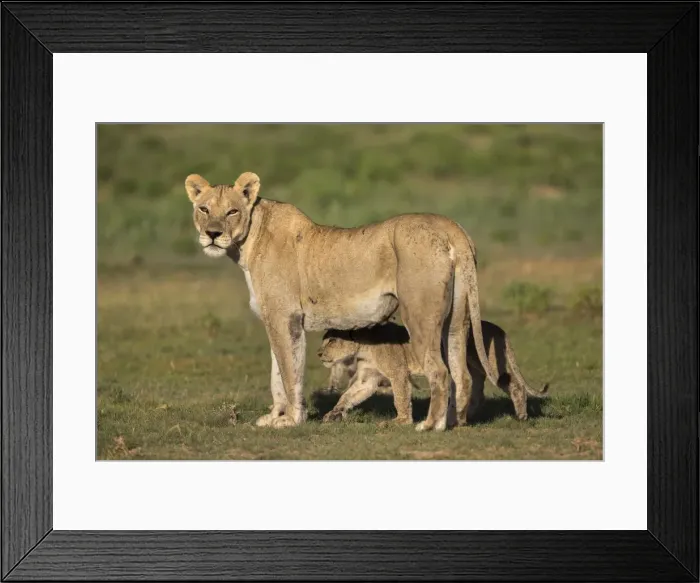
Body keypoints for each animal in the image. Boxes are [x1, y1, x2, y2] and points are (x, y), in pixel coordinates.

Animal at [184, 171, 500, 432]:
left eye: (232, 211)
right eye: (204, 209)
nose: (212, 234)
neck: (248, 243)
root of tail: (451, 226)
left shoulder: (285, 317)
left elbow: (288, 372)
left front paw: (291, 419)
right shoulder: (275, 321)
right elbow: (276, 373)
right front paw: (274, 417)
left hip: (419, 313)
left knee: (440, 370)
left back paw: (430, 425)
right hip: (456, 320)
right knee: (462, 375)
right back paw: (454, 422)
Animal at [316, 320, 549, 423]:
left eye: (332, 340)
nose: (318, 353)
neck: (362, 348)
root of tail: (499, 329)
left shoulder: (398, 372)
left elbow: (400, 398)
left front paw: (401, 421)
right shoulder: (368, 379)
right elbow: (348, 396)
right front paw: (333, 413)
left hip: (488, 363)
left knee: (514, 384)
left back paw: (521, 415)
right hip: (472, 366)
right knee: (476, 390)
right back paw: (460, 416)